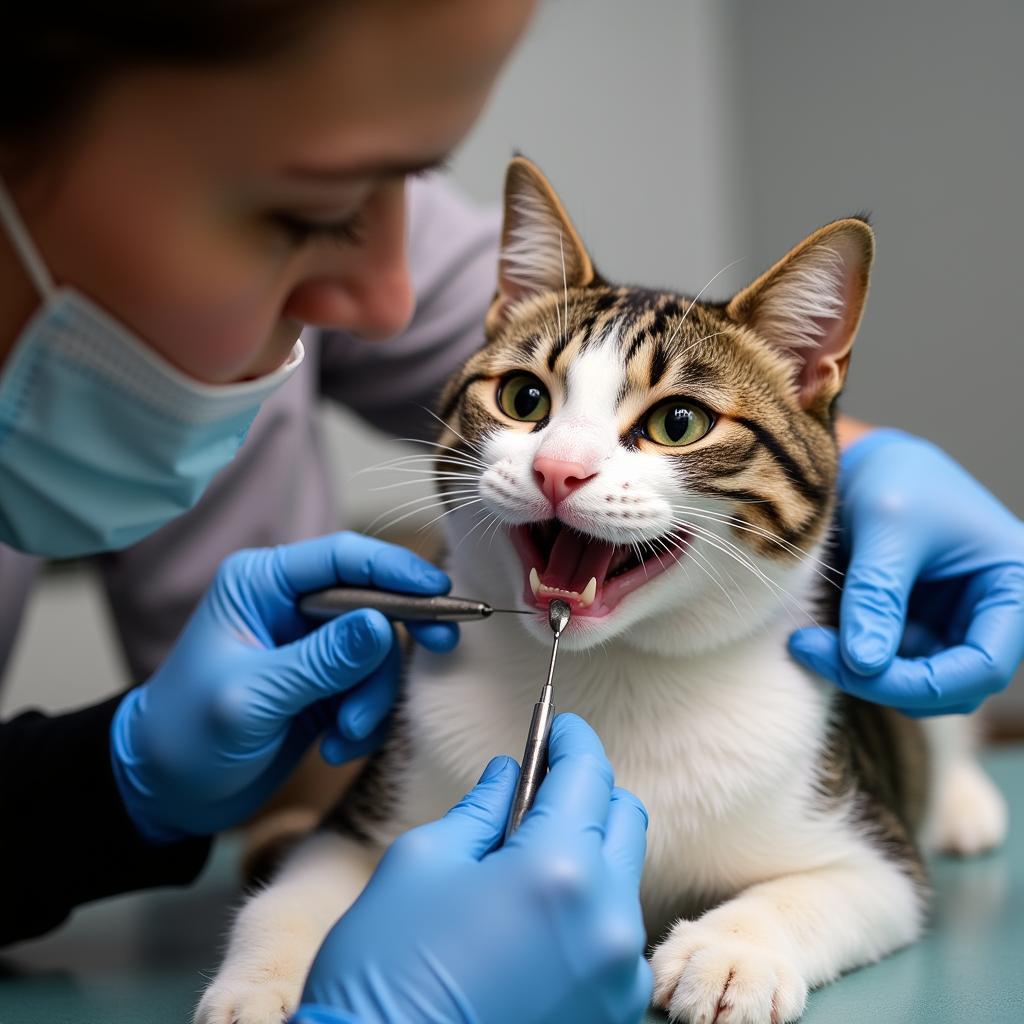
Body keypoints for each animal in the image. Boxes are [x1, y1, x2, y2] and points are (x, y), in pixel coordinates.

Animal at [199, 157, 1007, 1024]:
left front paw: (731, 951)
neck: (614, 669)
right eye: (524, 398)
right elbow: (291, 894)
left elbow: (831, 887)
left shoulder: (870, 848)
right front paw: (263, 982)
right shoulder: (358, 818)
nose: (559, 470)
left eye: (679, 422)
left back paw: (965, 802)